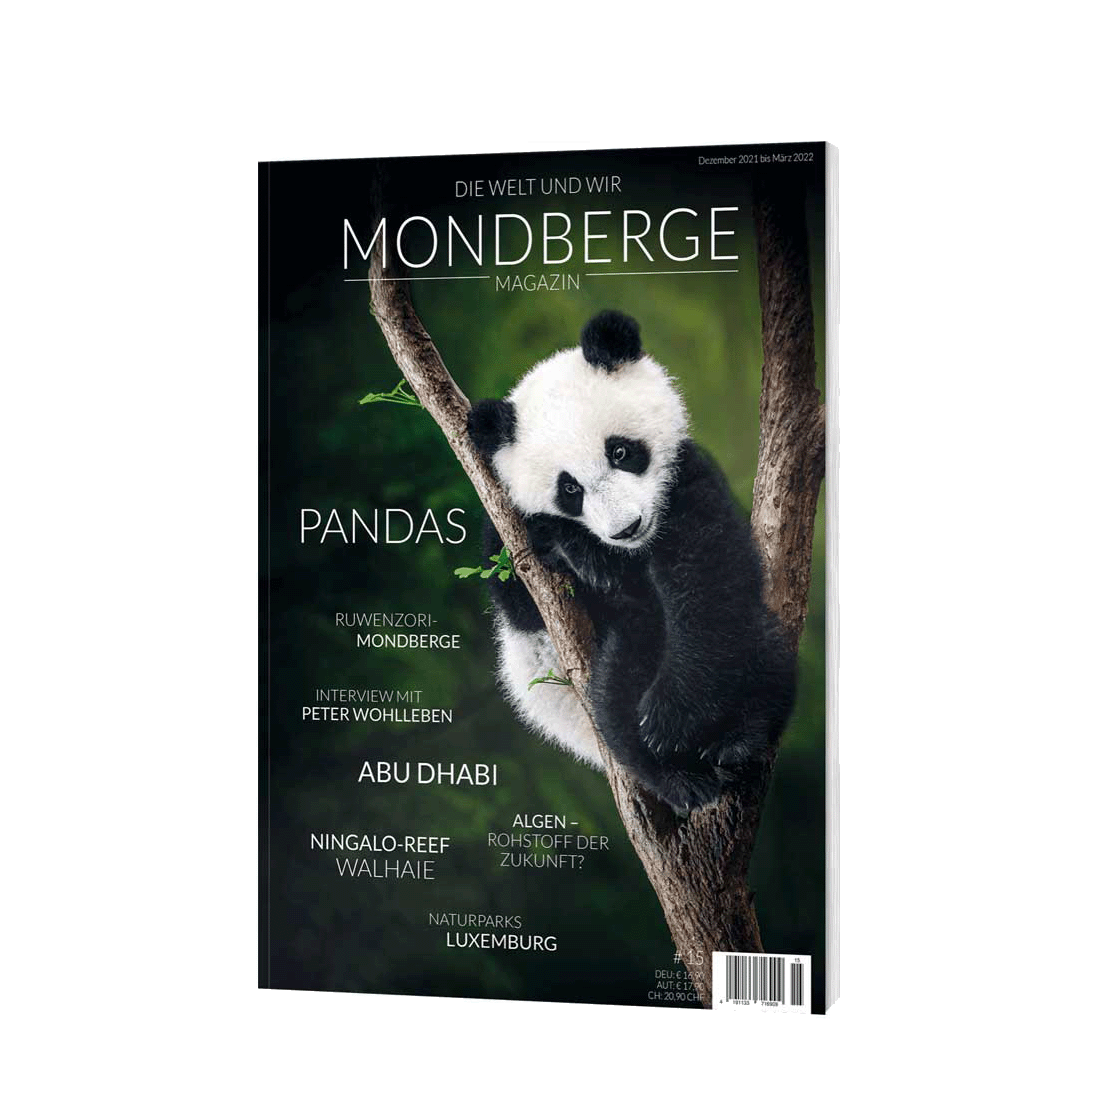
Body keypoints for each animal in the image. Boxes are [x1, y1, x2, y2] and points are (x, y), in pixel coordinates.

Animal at [467, 310, 797, 813]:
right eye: (570, 489)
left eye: (620, 451)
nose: (626, 527)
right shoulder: (507, 542)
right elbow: (522, 595)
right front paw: (575, 549)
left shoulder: (686, 484)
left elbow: (706, 582)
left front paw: (670, 716)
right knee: (616, 698)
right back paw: (682, 778)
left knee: (758, 650)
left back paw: (737, 740)